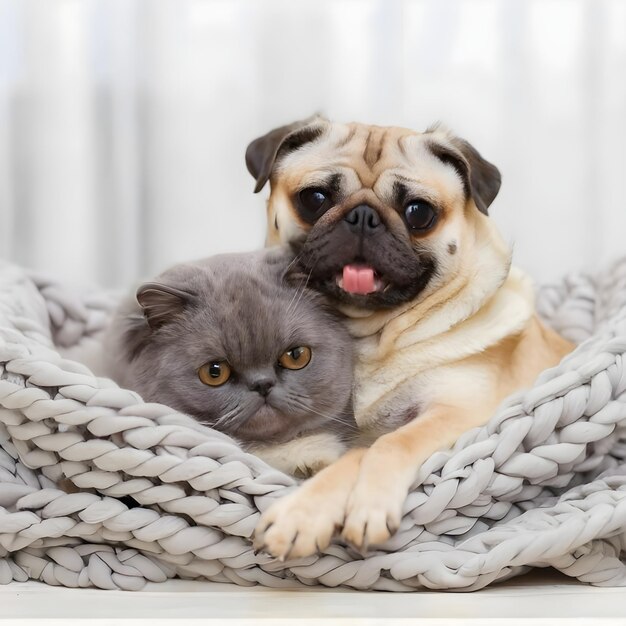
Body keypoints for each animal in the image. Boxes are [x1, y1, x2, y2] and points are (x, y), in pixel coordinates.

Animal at [243, 116, 572, 556]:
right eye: (314, 199)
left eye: (418, 212)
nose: (363, 217)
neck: (369, 336)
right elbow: (346, 455)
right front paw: (307, 509)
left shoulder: (456, 413)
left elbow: (389, 444)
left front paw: (350, 509)